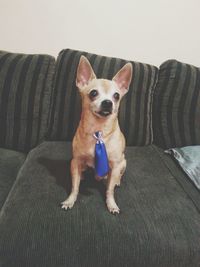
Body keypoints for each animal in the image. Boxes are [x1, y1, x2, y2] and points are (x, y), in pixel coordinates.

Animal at [61, 55, 133, 215]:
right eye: (93, 93)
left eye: (116, 96)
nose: (108, 102)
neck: (98, 130)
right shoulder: (76, 161)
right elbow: (74, 186)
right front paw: (70, 200)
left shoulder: (116, 164)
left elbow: (109, 190)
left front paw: (111, 204)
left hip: (123, 162)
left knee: (117, 176)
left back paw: (116, 180)